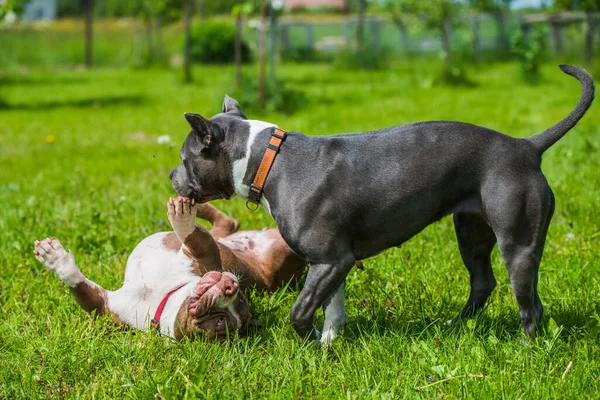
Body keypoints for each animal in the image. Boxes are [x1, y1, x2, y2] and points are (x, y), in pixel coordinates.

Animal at [33, 198, 308, 340]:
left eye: (221, 322)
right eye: (241, 298)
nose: (231, 286)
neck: (163, 299)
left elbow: (191, 233)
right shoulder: (104, 304)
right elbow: (76, 280)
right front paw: (54, 257)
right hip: (225, 237)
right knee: (227, 223)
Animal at [171, 65, 592, 344]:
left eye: (184, 157)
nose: (171, 176)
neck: (266, 160)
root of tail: (527, 147)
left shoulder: (329, 259)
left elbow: (300, 311)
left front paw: (309, 342)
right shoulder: (333, 262)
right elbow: (333, 307)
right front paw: (329, 344)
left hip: (517, 243)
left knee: (527, 301)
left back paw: (525, 347)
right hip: (471, 231)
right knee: (487, 283)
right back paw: (455, 326)